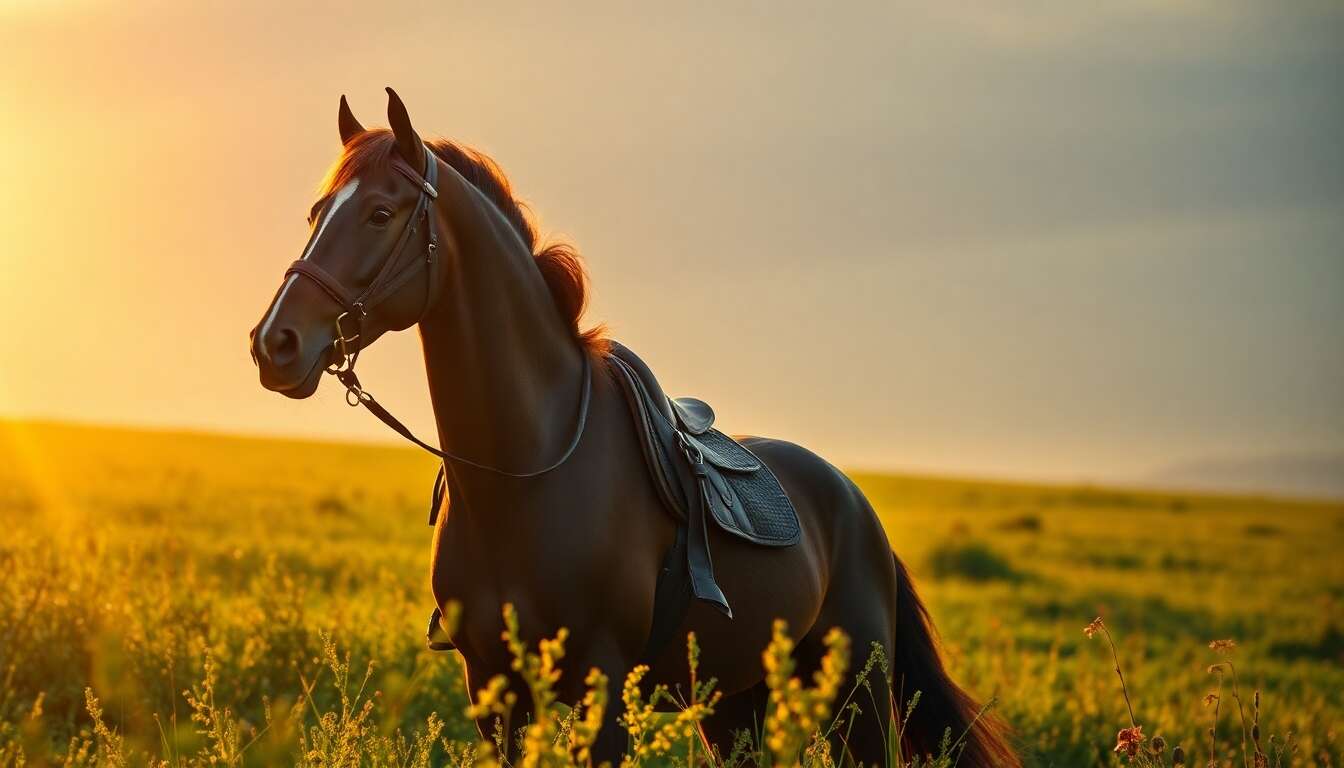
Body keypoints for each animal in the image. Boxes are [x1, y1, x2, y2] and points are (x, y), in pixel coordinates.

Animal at [249, 88, 1018, 767]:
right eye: (318, 210)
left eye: (380, 212)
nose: (274, 344)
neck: (523, 472)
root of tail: (854, 501)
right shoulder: (494, 690)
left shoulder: (605, 686)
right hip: (739, 700)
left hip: (857, 694)